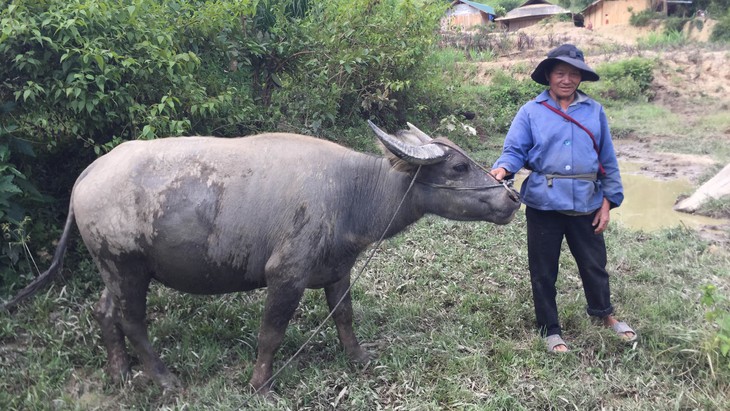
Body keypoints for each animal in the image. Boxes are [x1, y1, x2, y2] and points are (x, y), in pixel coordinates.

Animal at [4, 121, 516, 392]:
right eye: (458, 166)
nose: (511, 197)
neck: (351, 192)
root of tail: (90, 172)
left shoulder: (338, 270)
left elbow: (344, 317)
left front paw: (359, 358)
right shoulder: (286, 275)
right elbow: (271, 332)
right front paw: (260, 383)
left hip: (113, 269)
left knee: (104, 312)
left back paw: (120, 371)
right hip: (128, 268)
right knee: (131, 320)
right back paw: (163, 378)